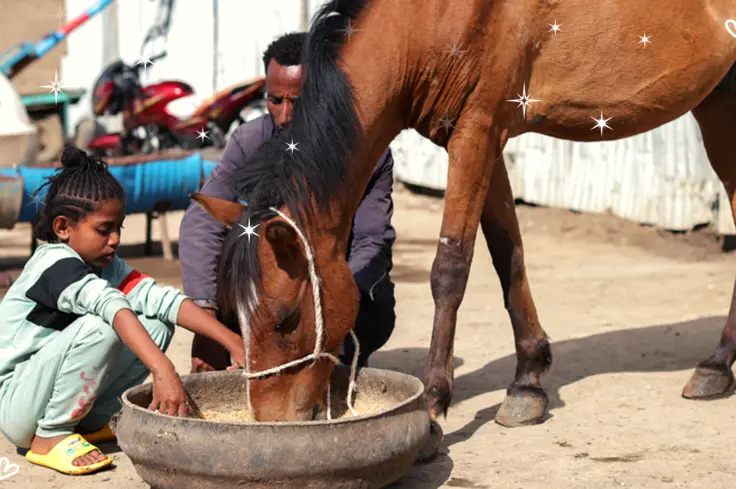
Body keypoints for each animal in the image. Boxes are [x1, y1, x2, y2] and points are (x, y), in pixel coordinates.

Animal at [191, 0, 736, 431]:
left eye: (286, 319)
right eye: (234, 315)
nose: (269, 420)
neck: (428, 18)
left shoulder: (476, 131)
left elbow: (450, 269)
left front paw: (434, 404)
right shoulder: (486, 138)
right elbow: (507, 254)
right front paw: (527, 385)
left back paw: (716, 365)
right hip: (718, 103)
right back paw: (717, 367)